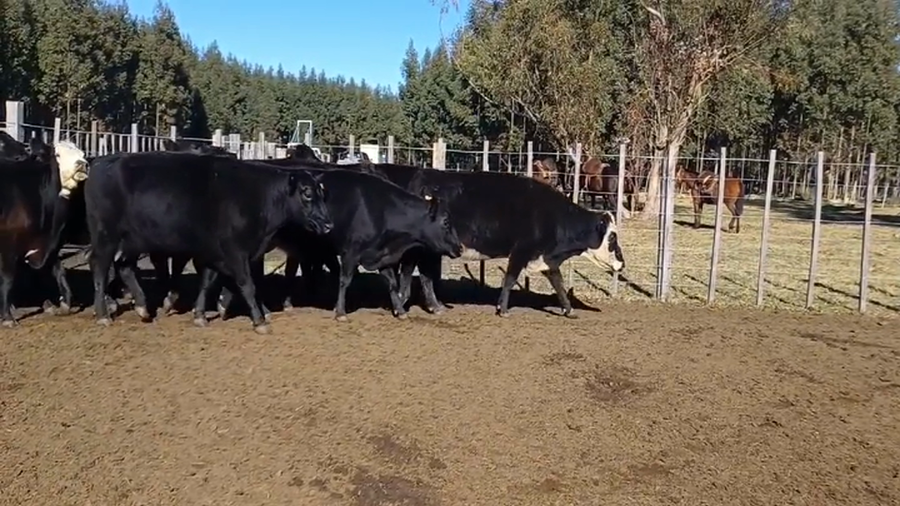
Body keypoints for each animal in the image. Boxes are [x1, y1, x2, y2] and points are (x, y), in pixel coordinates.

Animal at [0, 137, 89, 326]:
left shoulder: (49, 244)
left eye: (82, 153)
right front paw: (8, 317)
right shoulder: (9, 243)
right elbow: (8, 278)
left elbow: (57, 271)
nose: (81, 164)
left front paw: (62, 304)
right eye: (58, 154)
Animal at [83, 151, 333, 333]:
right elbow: (247, 284)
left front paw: (201, 315)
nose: (328, 224)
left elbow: (208, 282)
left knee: (124, 267)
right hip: (106, 236)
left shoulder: (216, 253)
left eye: (322, 193)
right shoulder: (235, 251)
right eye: (307, 192)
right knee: (100, 267)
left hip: (132, 240)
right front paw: (259, 321)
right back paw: (103, 315)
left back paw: (143, 309)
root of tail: (101, 161)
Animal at [366, 165, 624, 317]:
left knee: (422, 274)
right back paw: (406, 301)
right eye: (612, 237)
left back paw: (432, 306)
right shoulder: (521, 250)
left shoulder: (546, 258)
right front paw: (503, 309)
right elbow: (509, 279)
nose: (622, 263)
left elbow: (558, 283)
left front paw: (569, 310)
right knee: (412, 271)